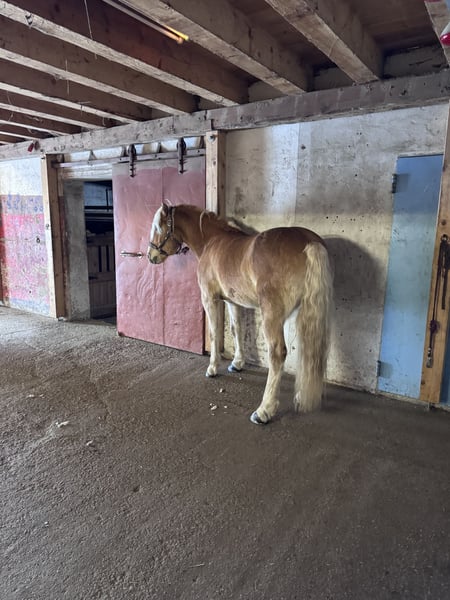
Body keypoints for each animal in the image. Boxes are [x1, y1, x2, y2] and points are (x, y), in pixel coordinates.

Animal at [147, 203, 333, 425]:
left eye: (158, 227)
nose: (151, 256)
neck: (211, 241)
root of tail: (309, 242)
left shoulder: (209, 299)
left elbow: (214, 333)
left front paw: (212, 368)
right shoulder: (232, 301)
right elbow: (236, 329)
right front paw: (237, 364)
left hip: (272, 314)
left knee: (277, 353)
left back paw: (264, 411)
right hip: (309, 309)